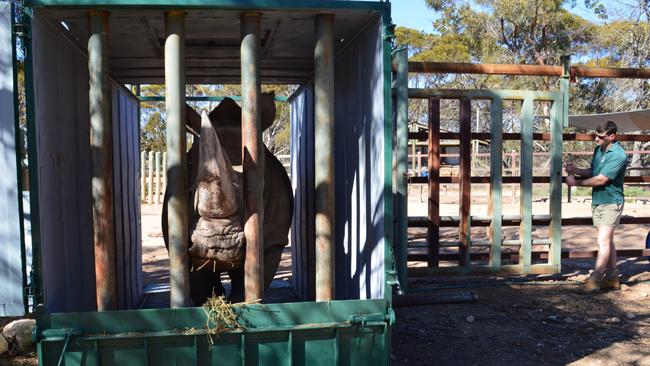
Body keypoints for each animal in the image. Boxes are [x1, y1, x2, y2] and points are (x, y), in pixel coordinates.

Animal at [162, 93, 294, 304]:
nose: (219, 244)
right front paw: (211, 302)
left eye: (258, 190)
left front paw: (240, 303)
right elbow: (199, 281)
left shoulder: (273, 242)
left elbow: (249, 278)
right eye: (189, 191)